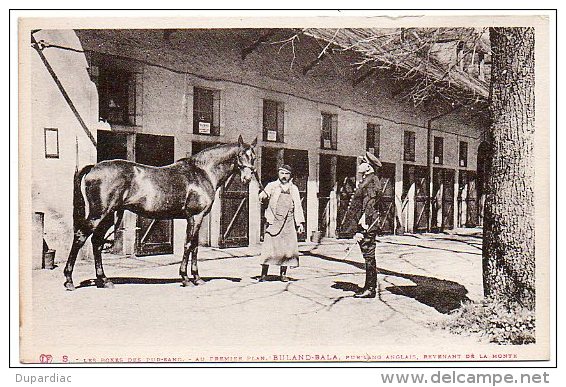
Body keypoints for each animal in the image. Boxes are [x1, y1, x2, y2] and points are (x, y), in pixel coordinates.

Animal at [63, 135, 258, 290]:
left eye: (254, 157)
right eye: (241, 155)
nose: (247, 178)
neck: (202, 172)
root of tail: (93, 168)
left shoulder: (196, 218)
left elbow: (195, 246)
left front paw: (197, 278)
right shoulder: (195, 216)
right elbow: (189, 245)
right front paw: (186, 278)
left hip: (109, 216)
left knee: (97, 242)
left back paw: (104, 280)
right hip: (99, 214)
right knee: (81, 237)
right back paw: (69, 280)